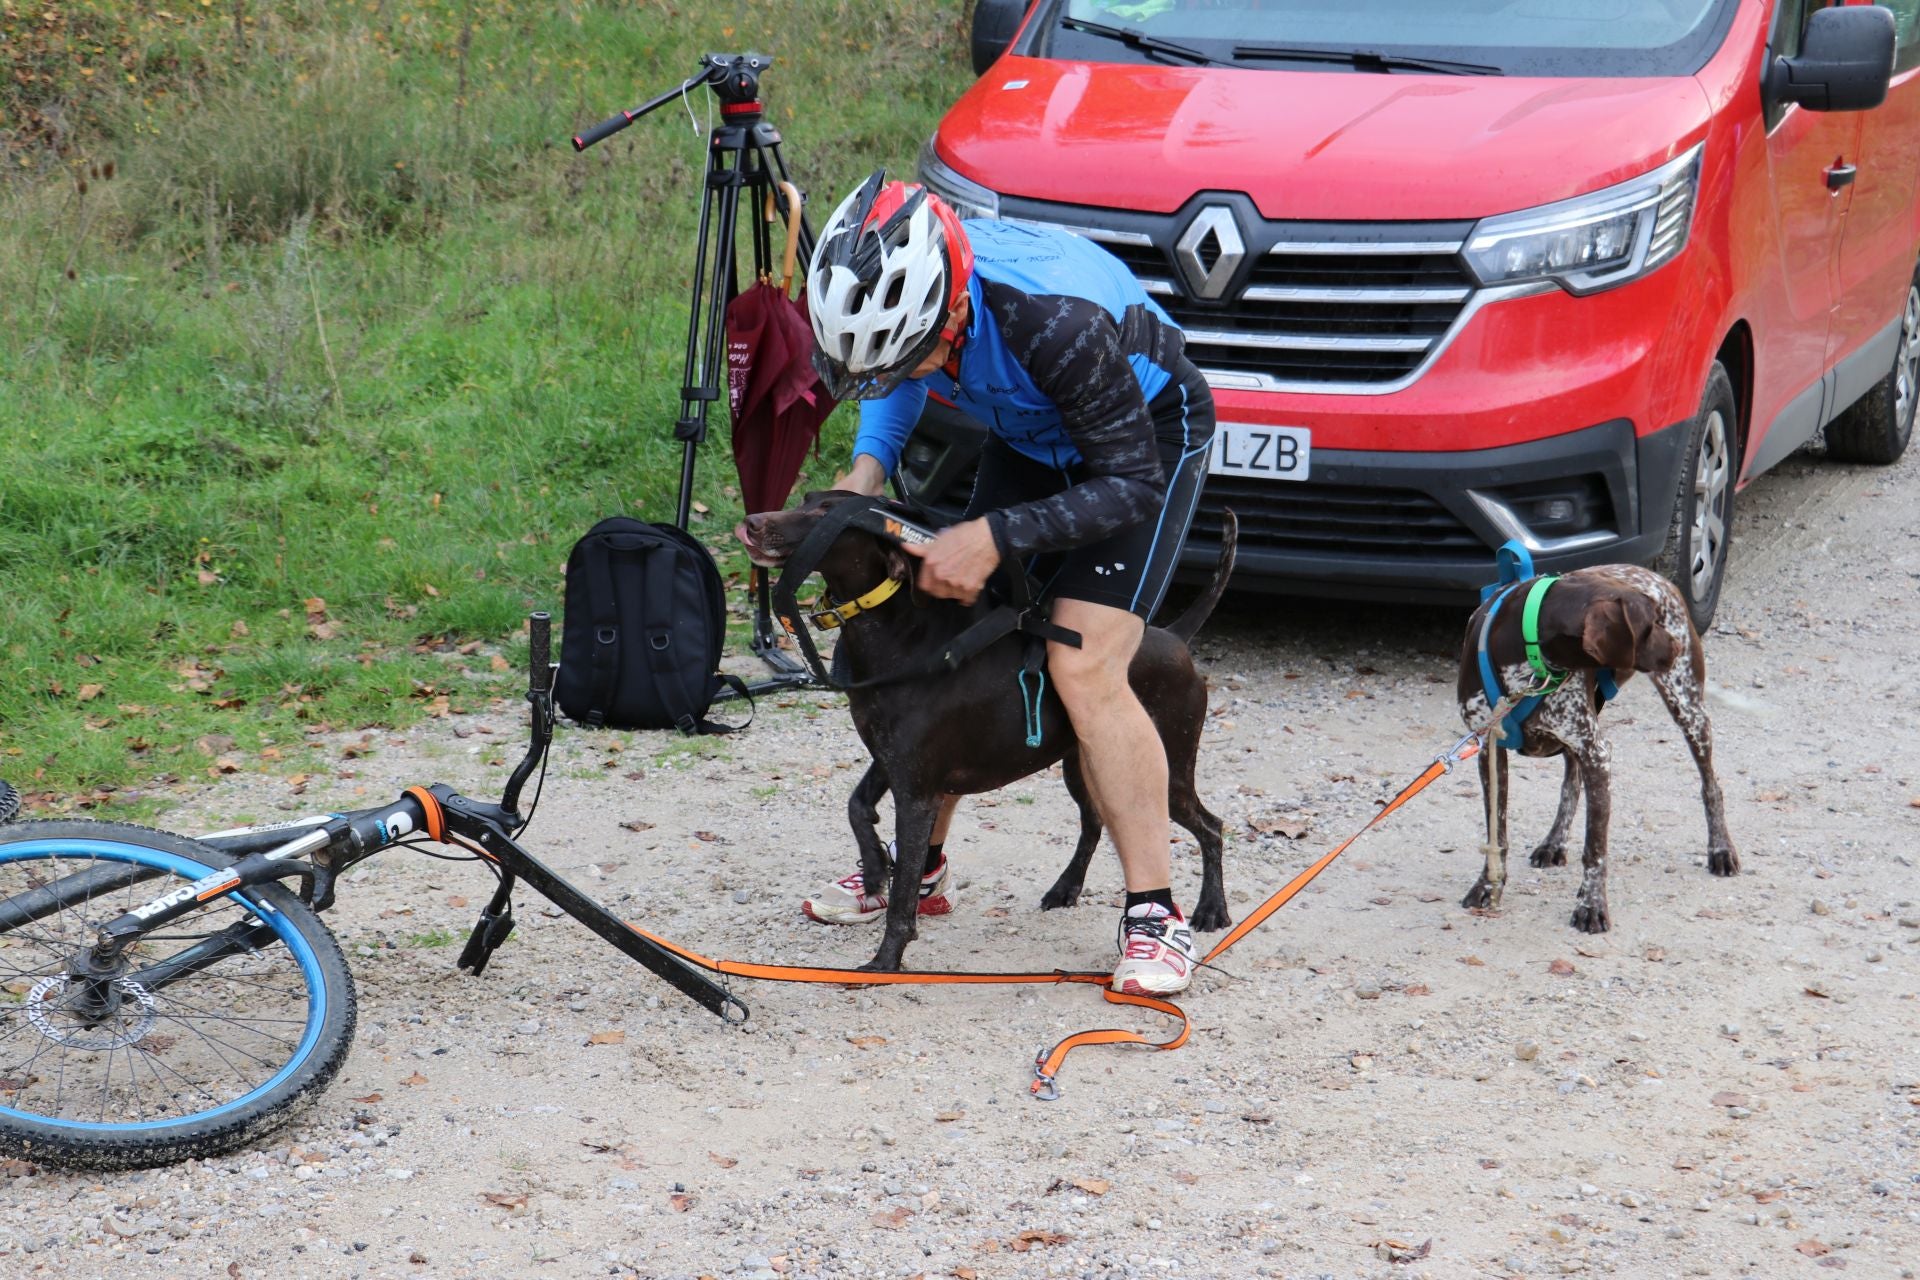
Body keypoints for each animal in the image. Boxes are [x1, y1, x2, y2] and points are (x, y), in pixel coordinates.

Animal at [733, 495, 1228, 971]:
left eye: (825, 511)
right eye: (805, 500)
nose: (751, 522)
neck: (897, 640)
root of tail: (1175, 637)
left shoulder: (916, 790)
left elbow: (903, 894)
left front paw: (885, 961)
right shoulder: (890, 760)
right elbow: (856, 807)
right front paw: (873, 867)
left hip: (1166, 770)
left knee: (1211, 826)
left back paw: (1211, 910)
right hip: (1080, 764)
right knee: (1094, 822)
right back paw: (1066, 888)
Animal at [1451, 564, 1743, 936]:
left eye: (1656, 619)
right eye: (1648, 624)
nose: (1678, 645)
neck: (1527, 652)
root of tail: (1657, 576)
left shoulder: (1596, 754)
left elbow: (1595, 849)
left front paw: (1590, 906)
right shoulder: (1489, 749)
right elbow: (1496, 833)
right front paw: (1488, 887)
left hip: (1688, 709)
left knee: (1711, 786)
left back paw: (1720, 850)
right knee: (1571, 784)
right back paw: (1554, 842)